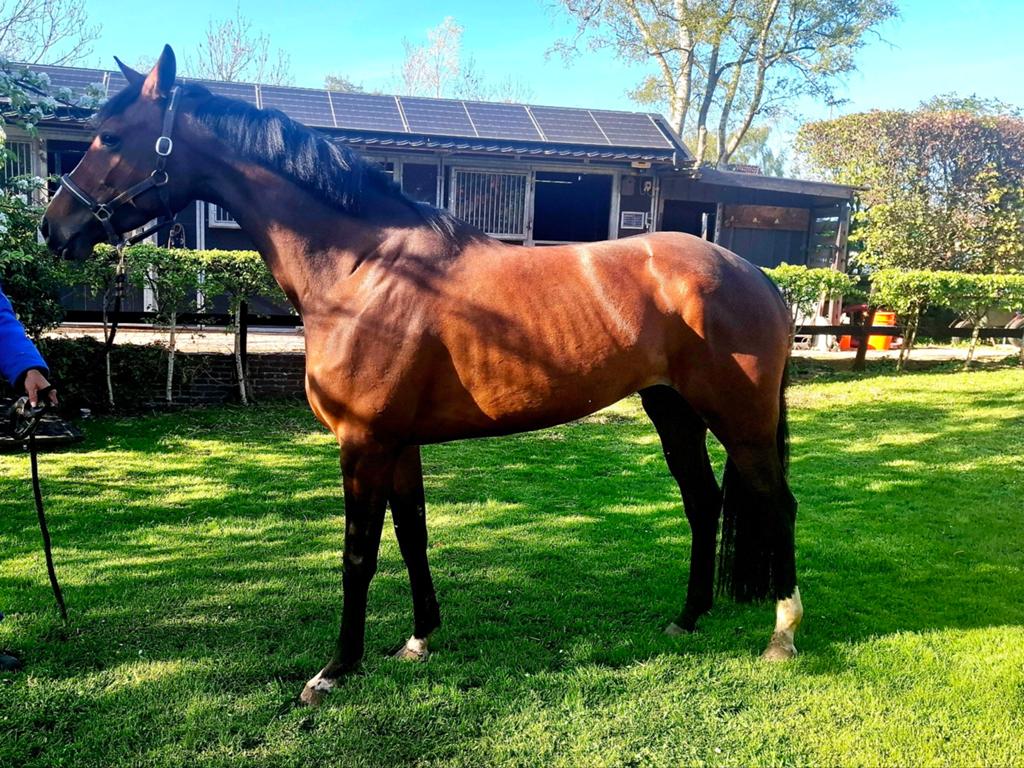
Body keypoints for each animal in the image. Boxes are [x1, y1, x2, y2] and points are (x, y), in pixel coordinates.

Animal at [41, 46, 803, 706]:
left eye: (110, 136)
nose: (55, 228)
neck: (362, 268)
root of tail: (755, 275)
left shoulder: (364, 443)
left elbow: (358, 552)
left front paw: (335, 669)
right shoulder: (398, 443)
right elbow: (413, 534)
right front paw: (417, 639)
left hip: (739, 419)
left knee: (778, 504)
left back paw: (782, 636)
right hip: (673, 410)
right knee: (704, 503)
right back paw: (688, 617)